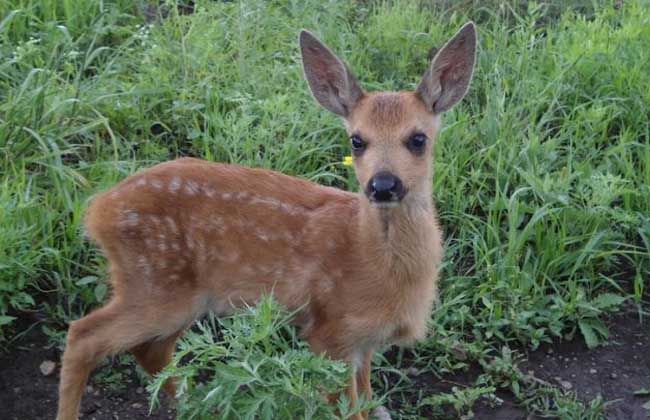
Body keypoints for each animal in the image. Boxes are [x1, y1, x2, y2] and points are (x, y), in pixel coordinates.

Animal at [55, 22, 476, 420]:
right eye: (357, 140)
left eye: (418, 138)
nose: (383, 184)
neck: (374, 260)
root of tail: (98, 212)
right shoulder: (331, 332)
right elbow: (348, 408)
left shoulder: (364, 341)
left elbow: (368, 397)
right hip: (154, 284)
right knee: (83, 335)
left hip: (178, 296)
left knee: (150, 351)